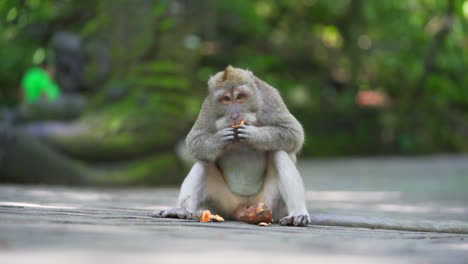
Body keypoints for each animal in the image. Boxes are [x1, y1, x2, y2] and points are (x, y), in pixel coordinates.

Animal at [151, 66, 310, 227]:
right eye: (226, 99)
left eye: (240, 96)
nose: (234, 116)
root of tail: (244, 208)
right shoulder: (208, 106)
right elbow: (194, 141)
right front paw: (219, 139)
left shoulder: (270, 98)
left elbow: (293, 132)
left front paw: (253, 134)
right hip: (224, 204)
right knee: (203, 163)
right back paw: (181, 210)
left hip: (271, 205)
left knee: (279, 153)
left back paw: (297, 214)